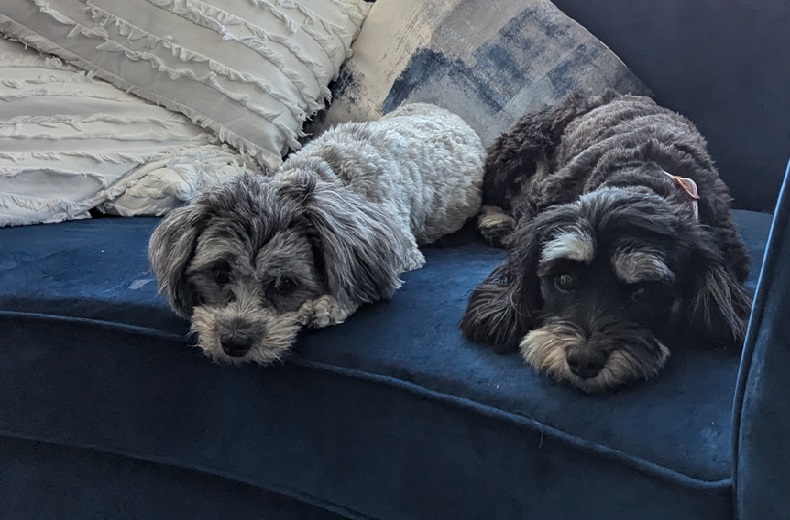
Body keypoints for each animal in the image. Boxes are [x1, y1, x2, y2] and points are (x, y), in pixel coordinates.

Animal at [146, 102, 486, 366]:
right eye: (219, 274)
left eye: (285, 284)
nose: (233, 342)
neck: (325, 176)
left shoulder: (400, 248)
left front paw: (327, 306)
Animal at [464, 89, 756, 392]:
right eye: (564, 280)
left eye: (642, 292)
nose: (584, 360)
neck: (641, 175)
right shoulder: (541, 203)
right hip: (514, 153)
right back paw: (495, 221)